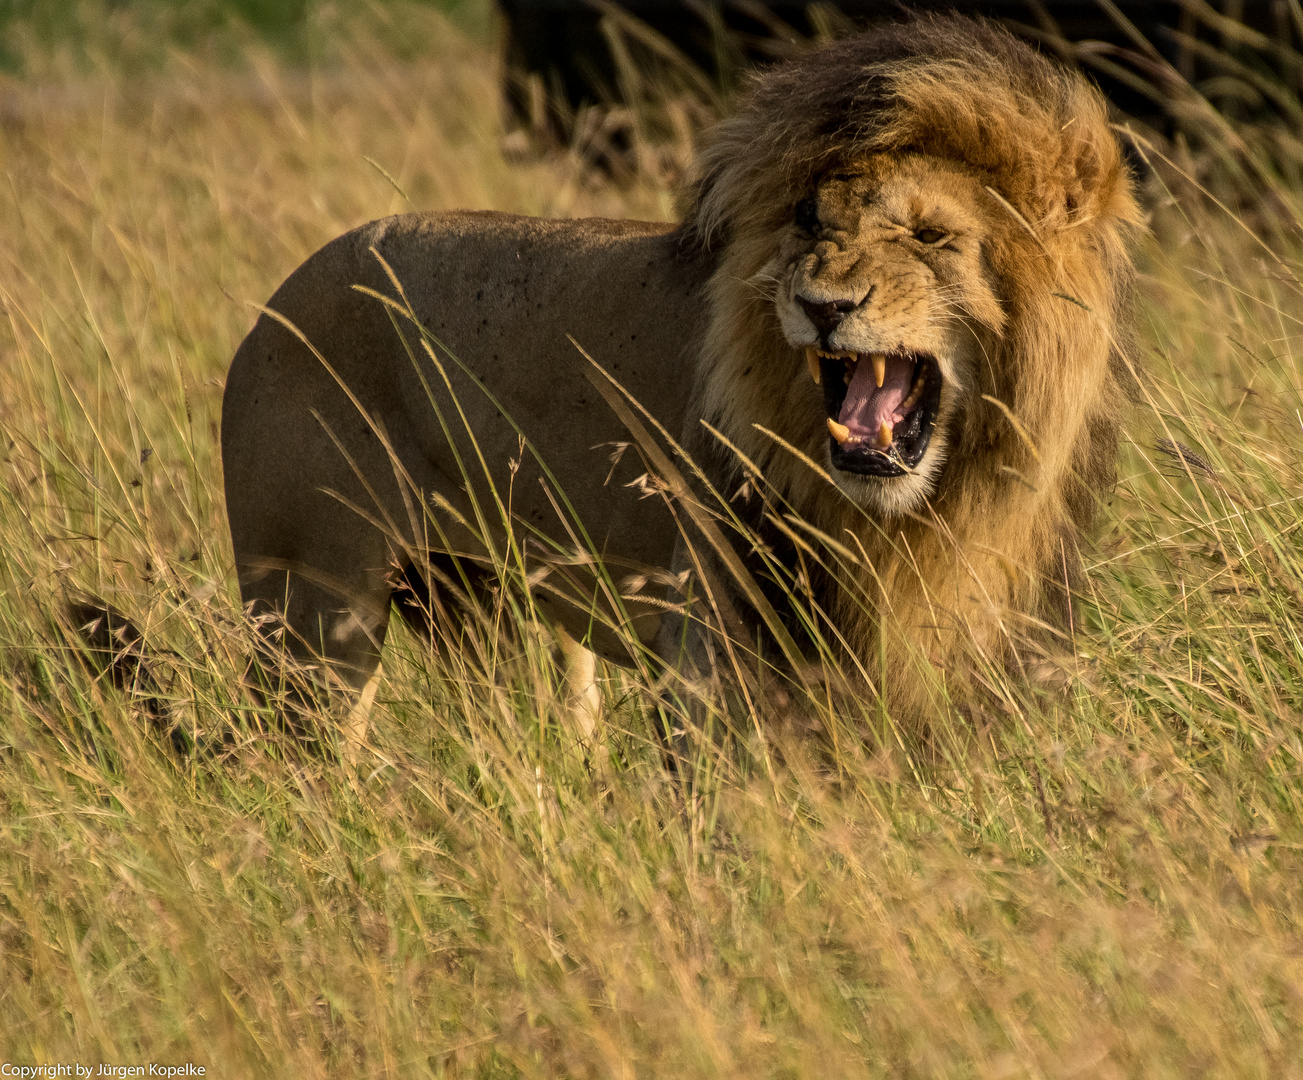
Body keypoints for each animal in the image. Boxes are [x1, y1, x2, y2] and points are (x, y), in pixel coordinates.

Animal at [224, 14, 1141, 739]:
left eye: (928, 237)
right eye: (809, 224)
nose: (821, 304)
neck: (920, 511)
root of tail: (268, 310)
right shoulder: (714, 648)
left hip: (492, 610)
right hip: (314, 611)